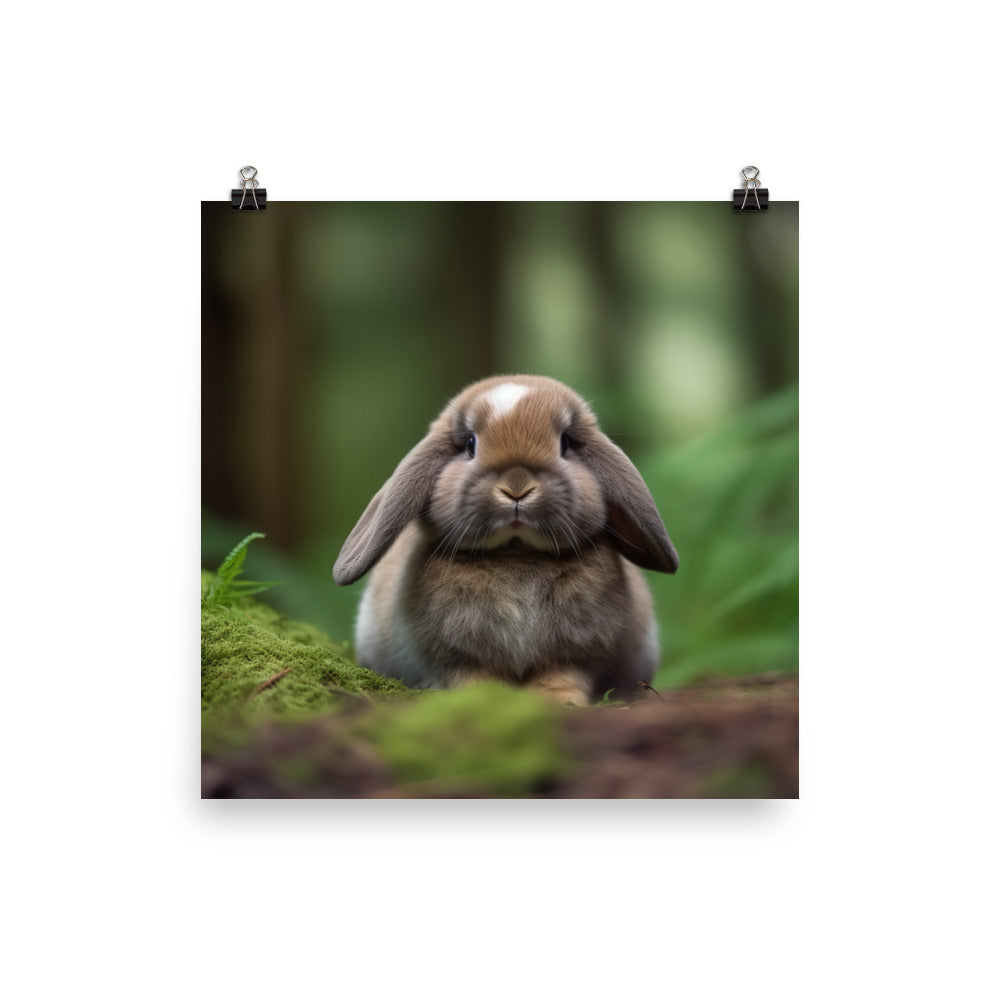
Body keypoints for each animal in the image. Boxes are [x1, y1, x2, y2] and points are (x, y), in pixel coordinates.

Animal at [333, 375, 678, 705]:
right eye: (470, 444)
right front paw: (483, 699)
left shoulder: (578, 649)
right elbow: (472, 677)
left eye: (565, 443)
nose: (517, 487)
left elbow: (562, 675)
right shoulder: (453, 656)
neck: (517, 554)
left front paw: (560, 700)